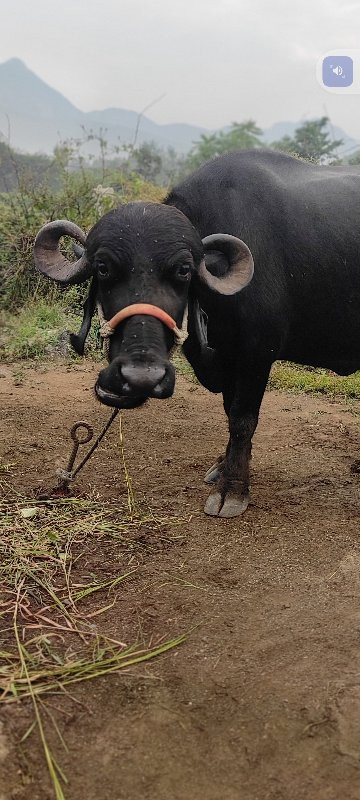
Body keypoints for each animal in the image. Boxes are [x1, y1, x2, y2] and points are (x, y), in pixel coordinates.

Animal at [33, 151, 360, 520]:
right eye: (103, 268)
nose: (141, 376)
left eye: (183, 270)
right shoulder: (227, 357)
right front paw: (223, 464)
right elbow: (230, 411)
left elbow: (242, 419)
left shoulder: (257, 353)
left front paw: (232, 489)